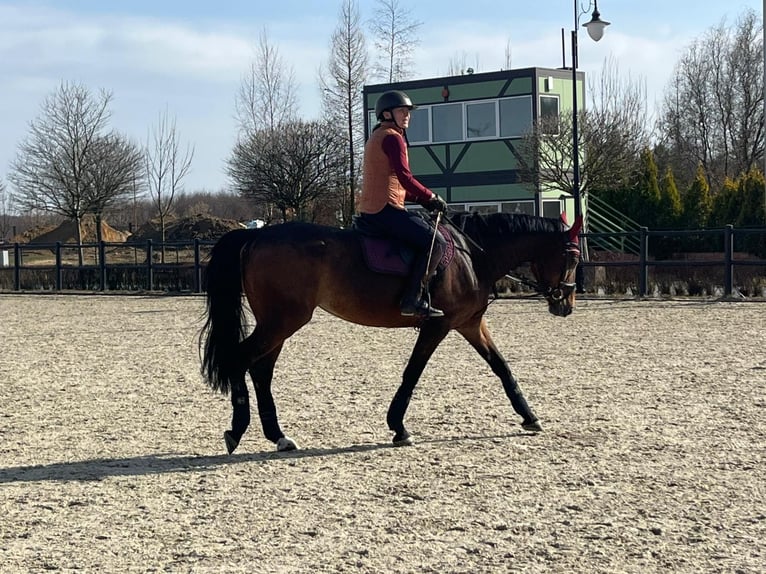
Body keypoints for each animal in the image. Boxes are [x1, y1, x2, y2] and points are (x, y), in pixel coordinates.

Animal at [200, 211, 582, 453]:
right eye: (573, 258)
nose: (566, 304)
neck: (472, 255)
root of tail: (258, 234)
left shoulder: (470, 323)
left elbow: (501, 367)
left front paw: (529, 416)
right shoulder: (438, 325)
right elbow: (412, 373)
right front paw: (399, 427)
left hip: (278, 323)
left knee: (260, 370)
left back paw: (278, 437)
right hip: (283, 320)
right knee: (241, 360)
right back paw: (237, 429)